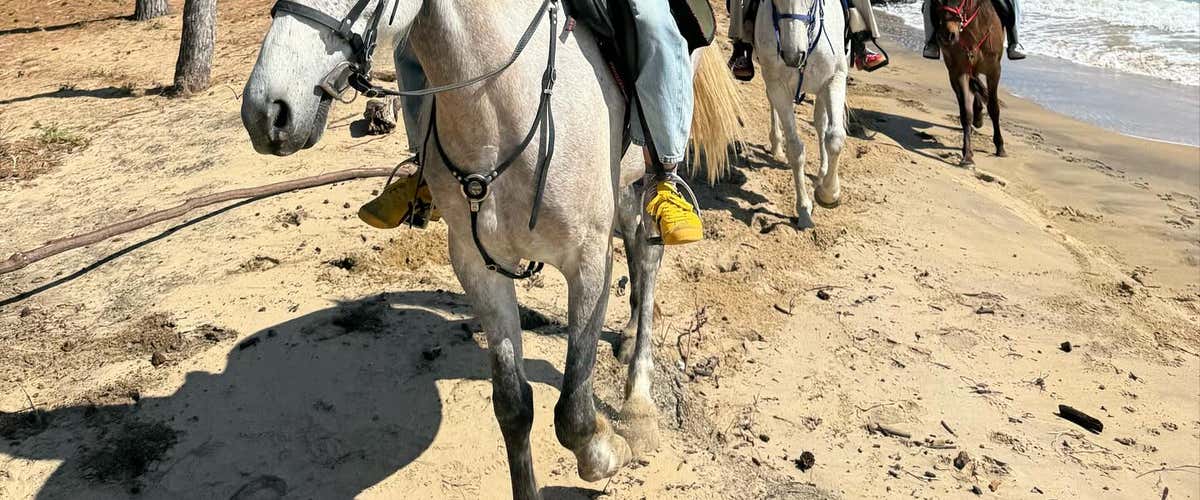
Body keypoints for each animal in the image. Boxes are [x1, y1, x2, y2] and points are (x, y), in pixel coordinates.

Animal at [239, 1, 738, 498]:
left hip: (650, 168)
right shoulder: (478, 267)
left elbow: (573, 412)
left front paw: (612, 450)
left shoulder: (589, 262)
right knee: (635, 239)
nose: (267, 113)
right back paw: (630, 334)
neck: (498, 105)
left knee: (649, 251)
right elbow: (513, 406)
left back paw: (638, 408)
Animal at [755, 0, 849, 228]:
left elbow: (835, 137)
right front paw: (804, 210)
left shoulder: (834, 78)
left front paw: (828, 194)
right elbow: (795, 148)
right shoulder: (777, 85)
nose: (793, 56)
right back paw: (776, 145)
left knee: (821, 124)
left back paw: (823, 172)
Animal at [932, 0, 1006, 166]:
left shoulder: (994, 71)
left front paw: (1000, 146)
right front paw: (967, 155)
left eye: (961, 1)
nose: (947, 35)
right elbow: (966, 112)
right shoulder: (960, 71)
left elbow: (994, 108)